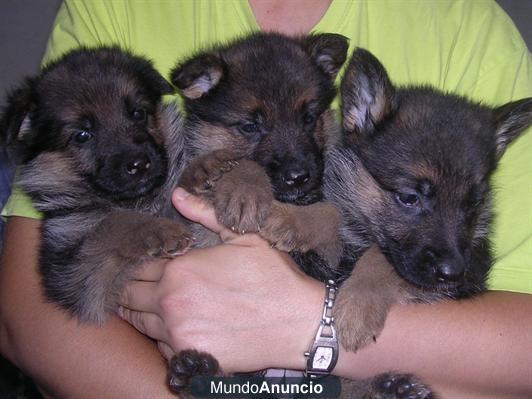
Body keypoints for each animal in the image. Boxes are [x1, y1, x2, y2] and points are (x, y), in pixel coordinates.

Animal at [0, 48, 191, 326]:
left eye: (138, 113)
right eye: (82, 135)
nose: (139, 164)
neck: (140, 202)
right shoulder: (76, 273)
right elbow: (112, 224)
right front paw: (159, 229)